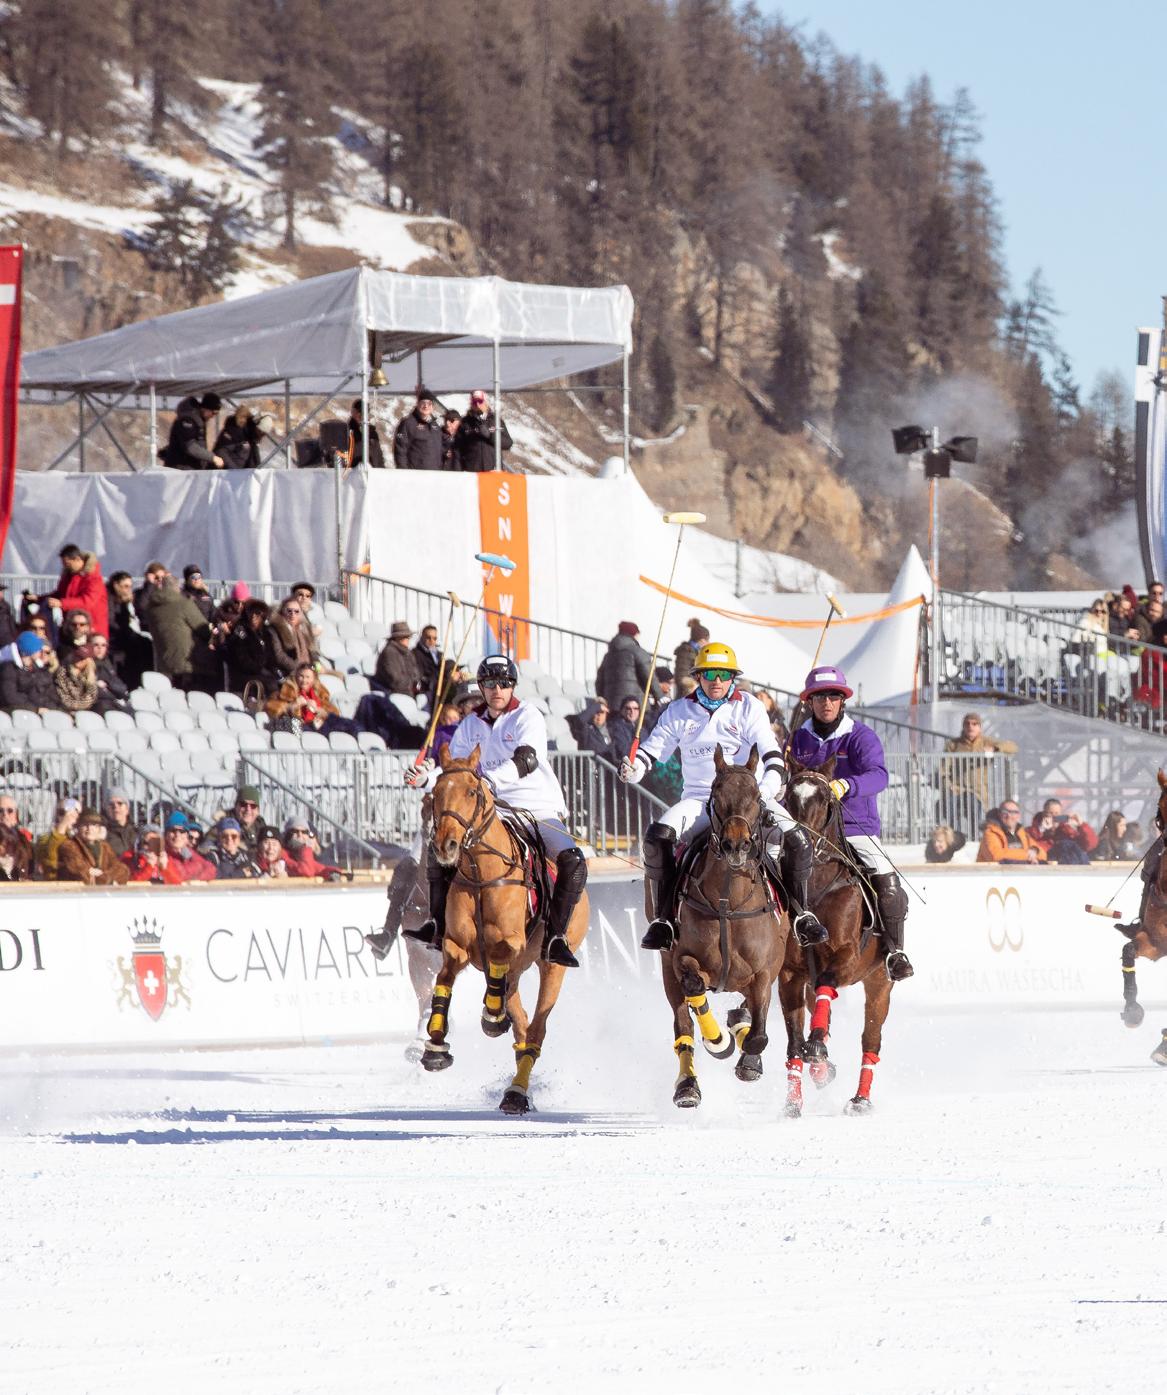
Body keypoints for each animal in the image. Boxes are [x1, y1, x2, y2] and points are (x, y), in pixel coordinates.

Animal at [422, 747, 589, 1113]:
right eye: (436, 793)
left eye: (473, 791)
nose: (445, 845)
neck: (482, 874)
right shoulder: (455, 945)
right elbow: (444, 979)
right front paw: (435, 1046)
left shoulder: (511, 942)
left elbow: (499, 952)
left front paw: (492, 1017)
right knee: (523, 1027)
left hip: (552, 965)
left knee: (536, 1029)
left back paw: (515, 1091)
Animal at [659, 745, 792, 1108]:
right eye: (716, 795)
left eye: (757, 796)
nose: (736, 845)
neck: (727, 904)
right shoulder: (681, 959)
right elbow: (692, 985)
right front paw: (718, 1040)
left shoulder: (764, 971)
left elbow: (758, 1034)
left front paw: (749, 1059)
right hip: (666, 970)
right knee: (684, 1026)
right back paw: (689, 1083)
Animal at [778, 756, 894, 1115]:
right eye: (788, 797)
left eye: (826, 800)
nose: (797, 845)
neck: (814, 887)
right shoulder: (790, 974)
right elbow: (793, 1042)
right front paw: (793, 1103)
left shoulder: (847, 957)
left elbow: (827, 987)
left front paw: (816, 1047)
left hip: (879, 983)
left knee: (871, 1041)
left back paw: (860, 1099)